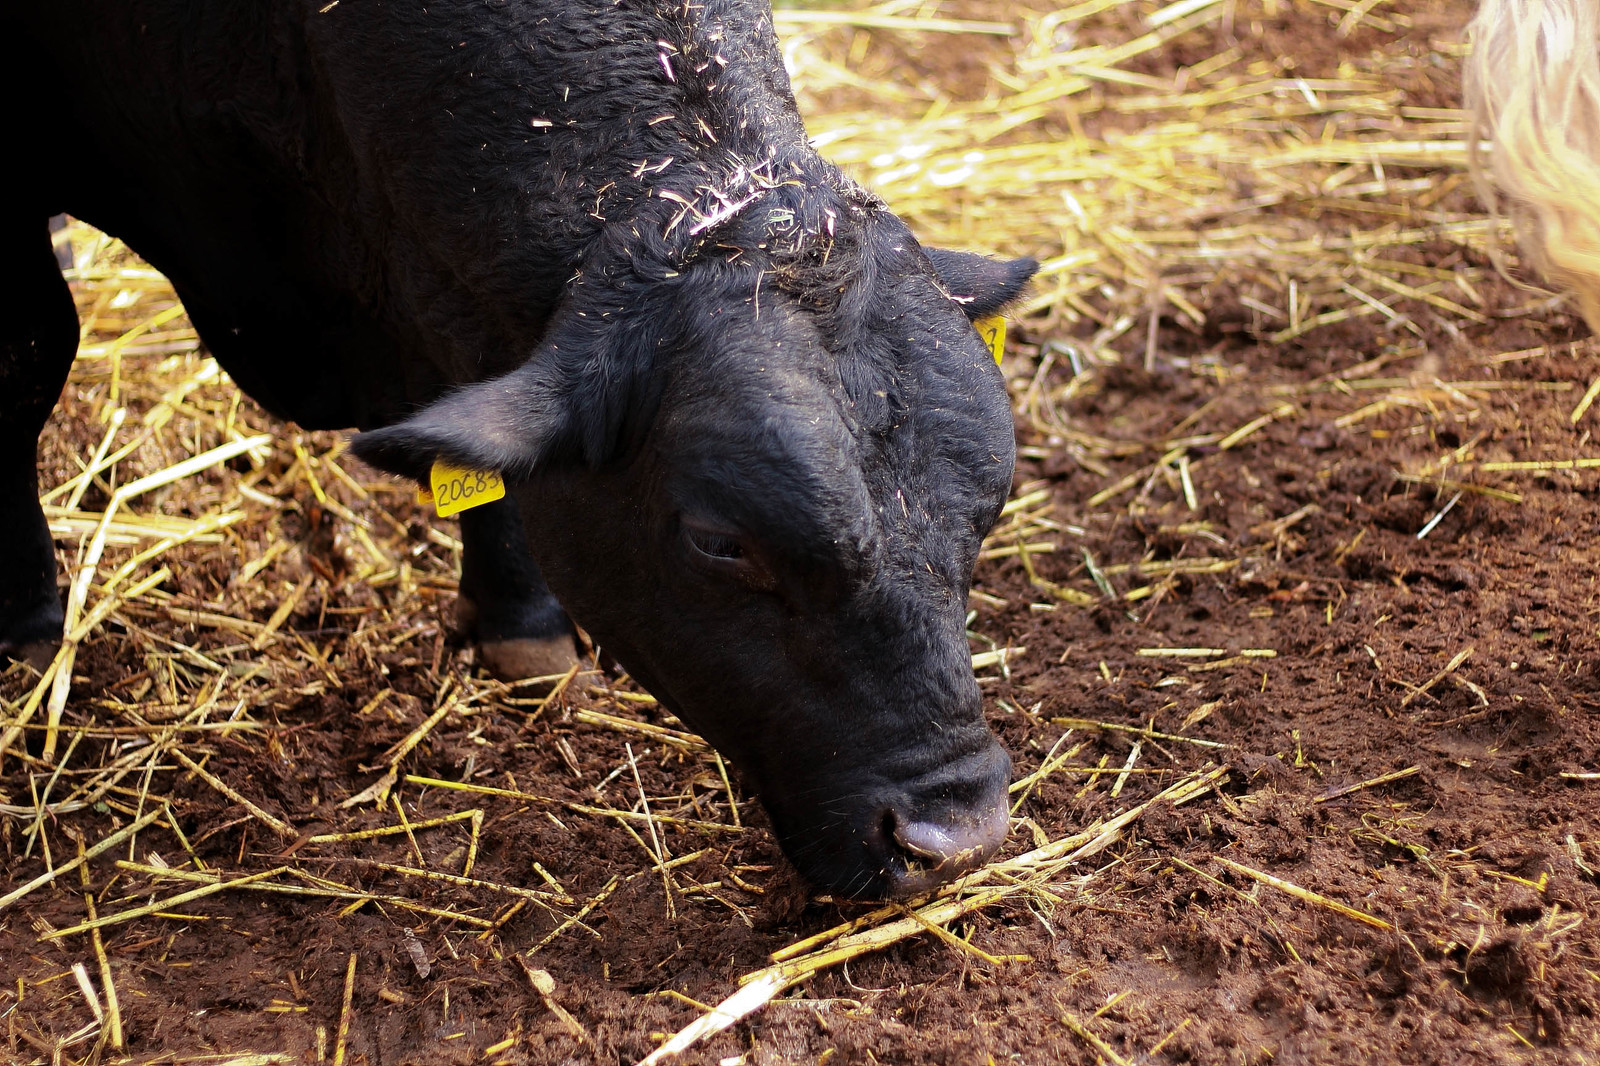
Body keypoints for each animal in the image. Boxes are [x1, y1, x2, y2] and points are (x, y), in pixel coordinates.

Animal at [0, 0, 1036, 896]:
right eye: (720, 541)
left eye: (989, 510)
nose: (958, 839)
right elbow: (30, 347)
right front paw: (28, 620)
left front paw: (519, 618)